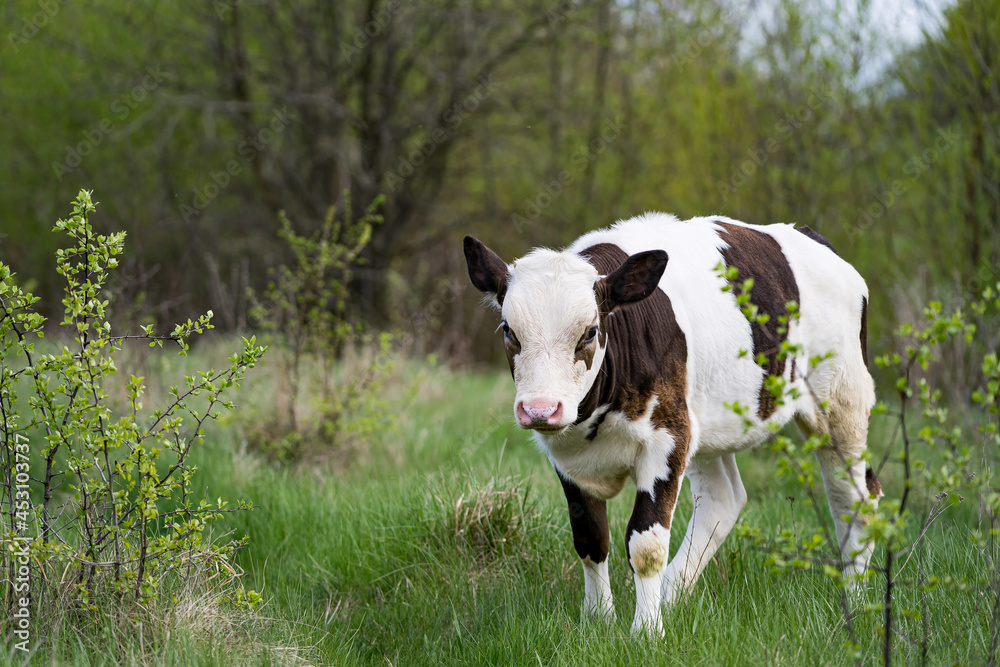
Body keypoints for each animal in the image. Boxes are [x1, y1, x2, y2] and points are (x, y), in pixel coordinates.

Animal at [464, 215, 880, 636]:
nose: (540, 410)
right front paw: (598, 620)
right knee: (723, 498)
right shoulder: (567, 459)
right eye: (508, 330)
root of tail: (814, 238)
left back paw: (857, 601)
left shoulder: (667, 438)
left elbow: (645, 544)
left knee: (856, 497)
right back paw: (672, 596)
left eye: (589, 332)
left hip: (842, 401)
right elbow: (590, 538)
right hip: (704, 422)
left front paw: (646, 631)